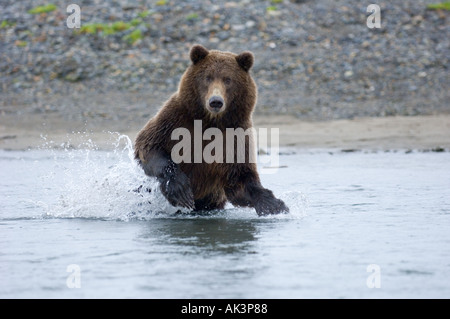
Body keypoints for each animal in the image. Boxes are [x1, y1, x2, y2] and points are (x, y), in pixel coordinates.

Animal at [134, 43, 288, 216]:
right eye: (208, 77)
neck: (210, 122)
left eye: (228, 79)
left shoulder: (235, 136)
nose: (215, 101)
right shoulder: (176, 120)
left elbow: (240, 179)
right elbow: (150, 145)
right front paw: (180, 190)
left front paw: (274, 204)